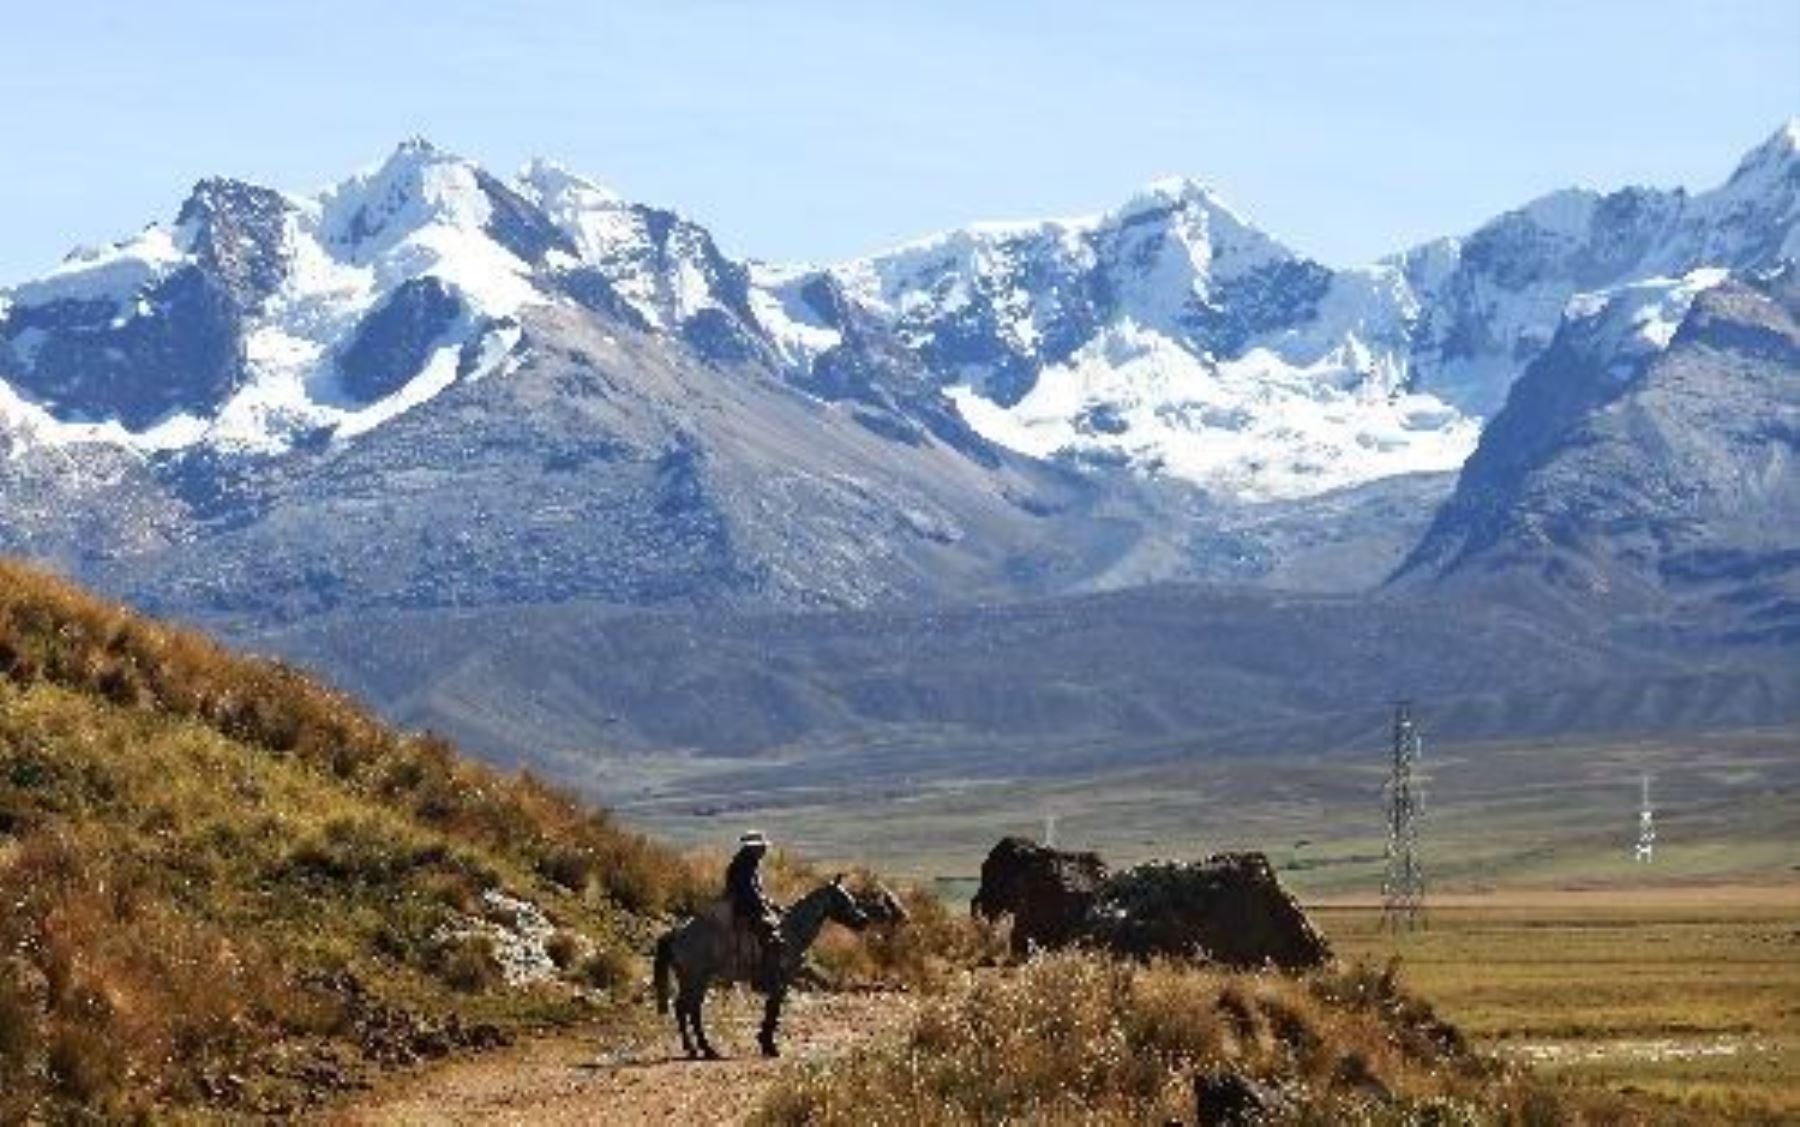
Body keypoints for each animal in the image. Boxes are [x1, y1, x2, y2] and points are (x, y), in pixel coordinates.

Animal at [651, 874, 874, 1058]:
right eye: (843, 899)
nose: (864, 921)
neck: (790, 932)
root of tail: (677, 932)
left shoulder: (780, 982)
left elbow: (771, 1009)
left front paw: (765, 1042)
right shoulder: (781, 980)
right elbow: (774, 1010)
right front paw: (770, 1046)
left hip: (691, 979)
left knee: (684, 1008)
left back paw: (694, 1048)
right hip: (696, 978)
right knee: (690, 1009)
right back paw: (704, 1049)